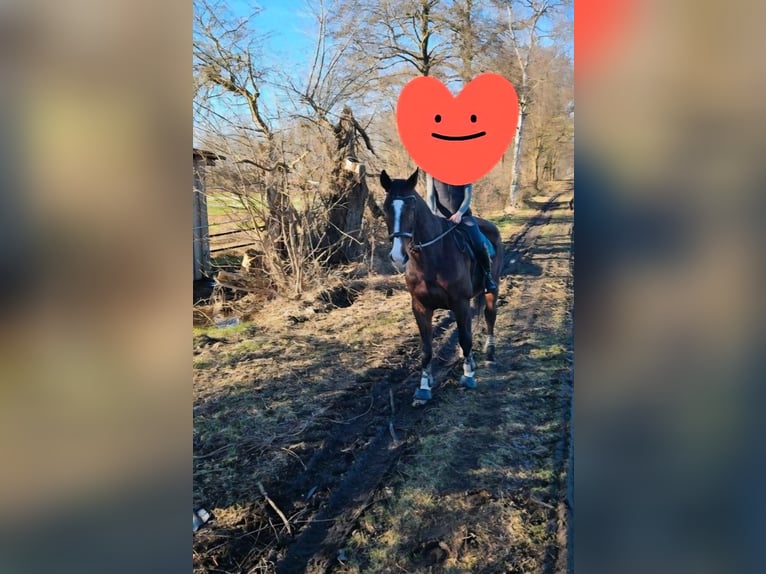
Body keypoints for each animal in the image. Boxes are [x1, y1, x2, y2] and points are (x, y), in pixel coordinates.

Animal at [380, 168, 503, 406]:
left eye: (411, 206)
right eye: (386, 207)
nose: (398, 256)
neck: (431, 256)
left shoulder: (460, 303)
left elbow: (465, 338)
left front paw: (468, 376)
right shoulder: (420, 307)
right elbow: (426, 349)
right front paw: (423, 388)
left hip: (492, 288)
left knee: (490, 316)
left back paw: (490, 354)